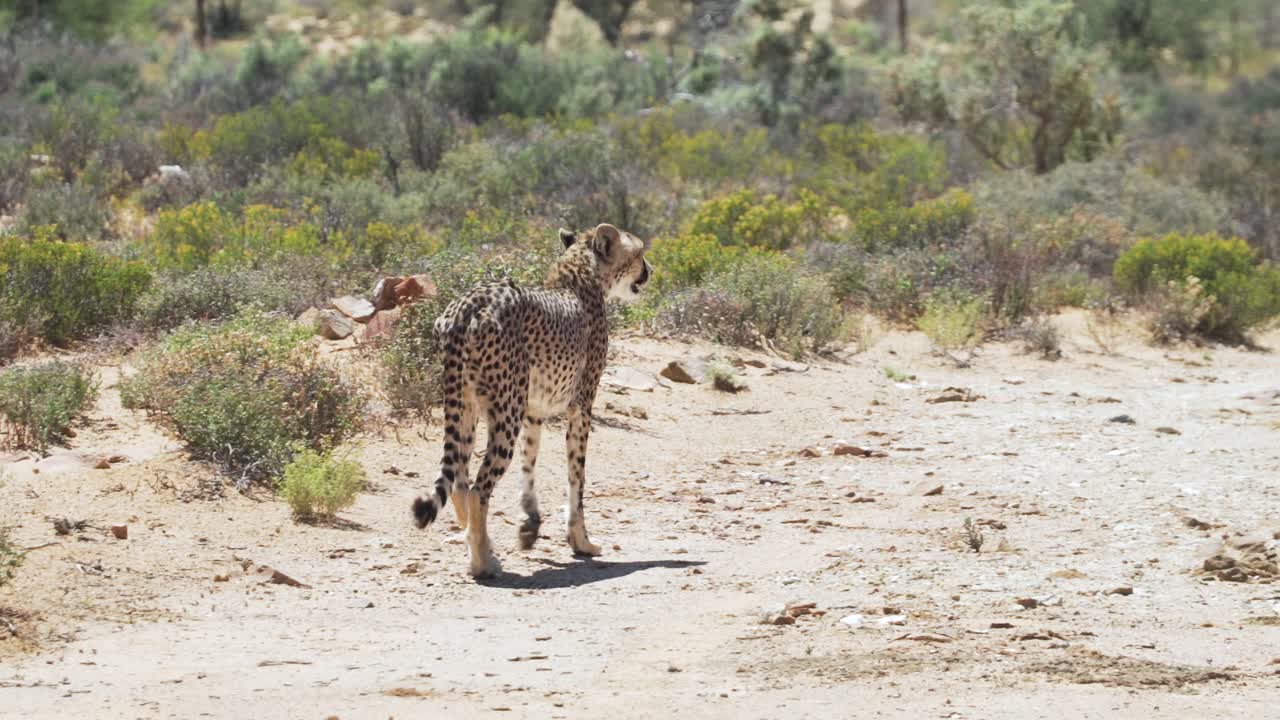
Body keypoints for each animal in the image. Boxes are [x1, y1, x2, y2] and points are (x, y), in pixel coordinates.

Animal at [412, 223, 653, 578]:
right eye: (638, 253)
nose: (650, 270)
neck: (581, 277)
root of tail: (468, 303)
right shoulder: (580, 407)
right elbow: (577, 478)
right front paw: (581, 541)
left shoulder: (533, 411)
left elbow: (530, 462)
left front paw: (529, 527)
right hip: (504, 410)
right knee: (479, 489)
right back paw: (483, 564)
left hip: (465, 404)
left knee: (459, 482)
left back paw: (480, 548)